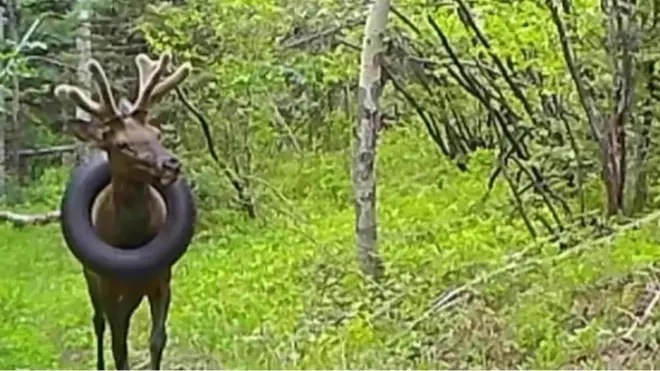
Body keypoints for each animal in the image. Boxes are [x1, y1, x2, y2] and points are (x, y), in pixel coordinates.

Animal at [54, 53, 195, 371]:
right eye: (121, 144)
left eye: (156, 132)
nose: (171, 164)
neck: (132, 239)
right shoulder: (107, 284)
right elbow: (119, 346)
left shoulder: (162, 278)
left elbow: (157, 339)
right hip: (91, 276)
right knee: (99, 322)